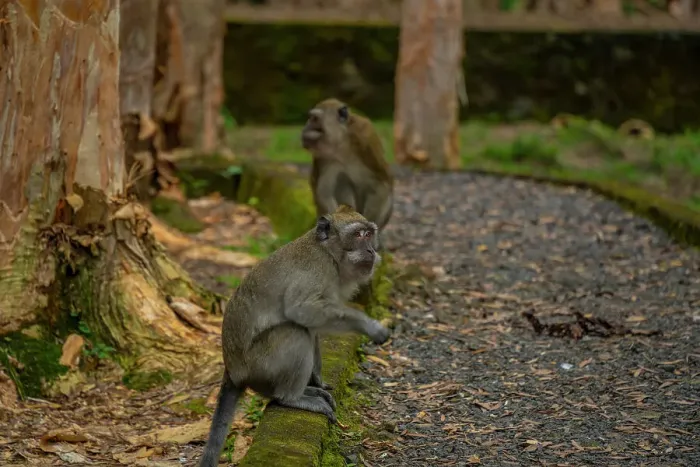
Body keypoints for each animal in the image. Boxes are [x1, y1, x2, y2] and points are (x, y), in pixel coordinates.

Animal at [198, 205, 391, 467]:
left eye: (369, 234)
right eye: (359, 235)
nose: (372, 250)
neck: (328, 253)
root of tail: (232, 370)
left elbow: (313, 324)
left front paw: (317, 379)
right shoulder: (316, 271)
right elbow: (301, 311)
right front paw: (369, 325)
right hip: (259, 365)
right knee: (294, 333)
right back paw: (291, 398)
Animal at [301, 98, 394, 239]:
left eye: (314, 118)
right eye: (310, 118)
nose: (306, 127)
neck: (343, 144)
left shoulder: (365, 139)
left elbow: (380, 184)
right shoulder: (324, 158)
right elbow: (324, 192)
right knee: (342, 180)